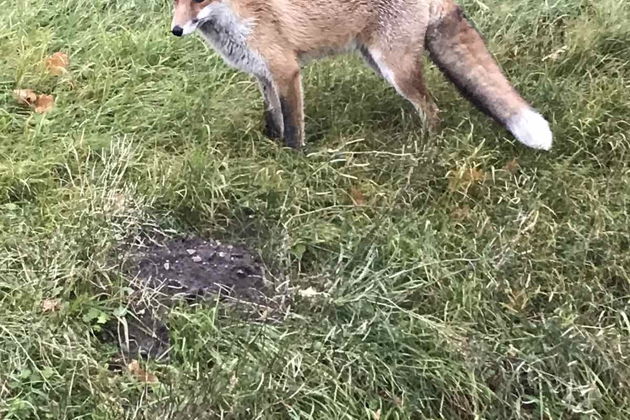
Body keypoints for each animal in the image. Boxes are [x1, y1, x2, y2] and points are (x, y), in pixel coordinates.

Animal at [170, 0, 556, 151]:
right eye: (175, 1)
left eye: (200, 0)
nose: (175, 30)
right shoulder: (263, 76)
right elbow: (273, 119)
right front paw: (270, 146)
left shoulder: (286, 71)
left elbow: (293, 129)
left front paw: (291, 163)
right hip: (375, 60)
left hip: (395, 69)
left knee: (432, 109)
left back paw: (427, 147)